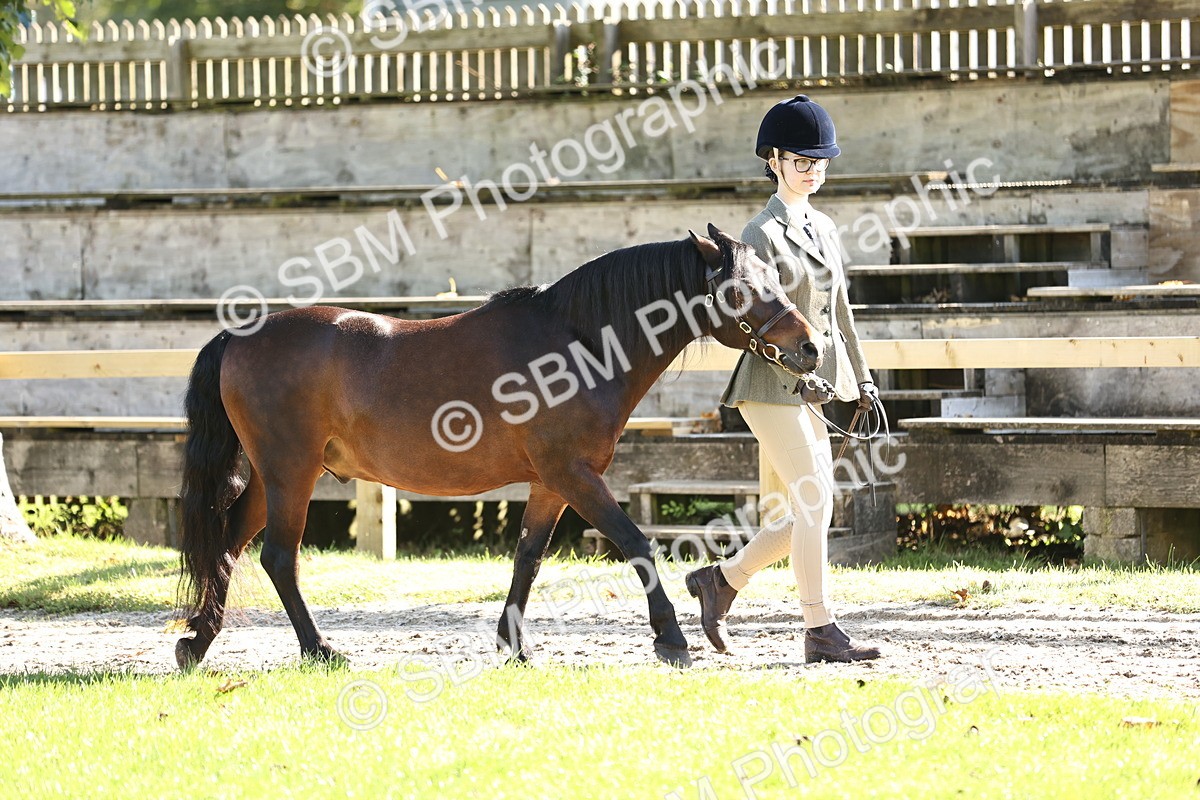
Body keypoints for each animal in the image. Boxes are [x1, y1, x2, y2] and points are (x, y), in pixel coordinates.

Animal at [176, 224, 821, 670]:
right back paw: (320, 649)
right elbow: (638, 544)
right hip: (292, 474)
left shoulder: (549, 484)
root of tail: (238, 336)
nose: (811, 347)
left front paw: (514, 646)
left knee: (229, 546)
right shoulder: (574, 476)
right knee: (278, 558)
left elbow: (527, 559)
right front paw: (671, 638)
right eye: (742, 289)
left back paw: (196, 642)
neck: (578, 343)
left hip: (273, 478)